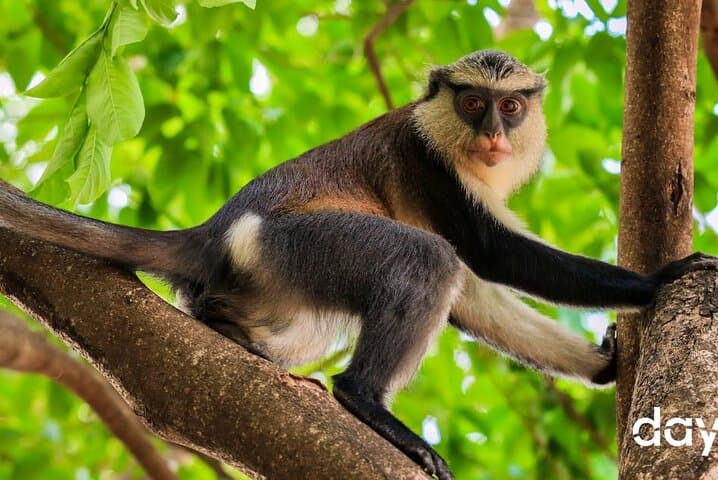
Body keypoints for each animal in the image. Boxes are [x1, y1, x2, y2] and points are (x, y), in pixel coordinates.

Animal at [0, 50, 715, 480]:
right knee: (424, 259)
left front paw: (602, 365)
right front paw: (662, 279)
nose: (493, 134)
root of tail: (215, 230)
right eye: (473, 102)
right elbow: (486, 256)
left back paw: (228, 327)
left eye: (510, 106)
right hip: (292, 245)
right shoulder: (428, 161)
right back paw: (363, 399)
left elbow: (472, 294)